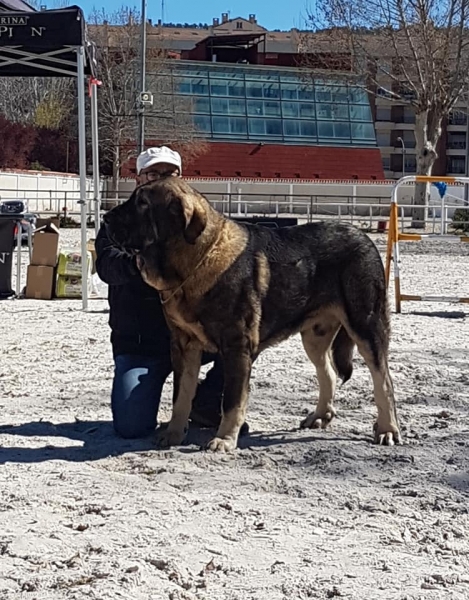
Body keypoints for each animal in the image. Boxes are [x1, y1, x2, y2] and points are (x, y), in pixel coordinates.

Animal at [104, 177, 400, 450]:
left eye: (143, 203)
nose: (105, 219)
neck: (194, 261)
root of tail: (363, 236)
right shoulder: (183, 346)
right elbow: (181, 395)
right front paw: (174, 434)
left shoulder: (237, 346)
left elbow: (232, 400)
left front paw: (224, 440)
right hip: (315, 335)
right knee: (326, 371)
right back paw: (320, 416)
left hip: (366, 325)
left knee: (383, 379)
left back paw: (387, 429)